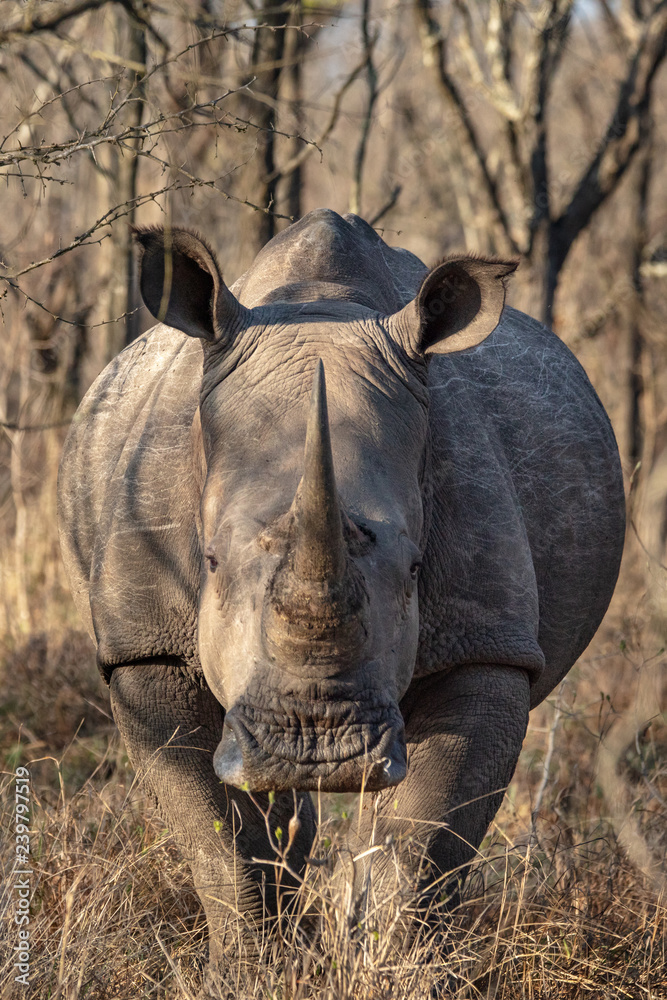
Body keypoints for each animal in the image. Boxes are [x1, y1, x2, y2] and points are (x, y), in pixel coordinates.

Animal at [58, 208, 625, 991]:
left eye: (416, 569)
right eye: (209, 562)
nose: (317, 750)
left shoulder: (487, 645)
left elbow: (422, 842)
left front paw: (397, 975)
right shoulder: (144, 647)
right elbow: (217, 835)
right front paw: (251, 977)